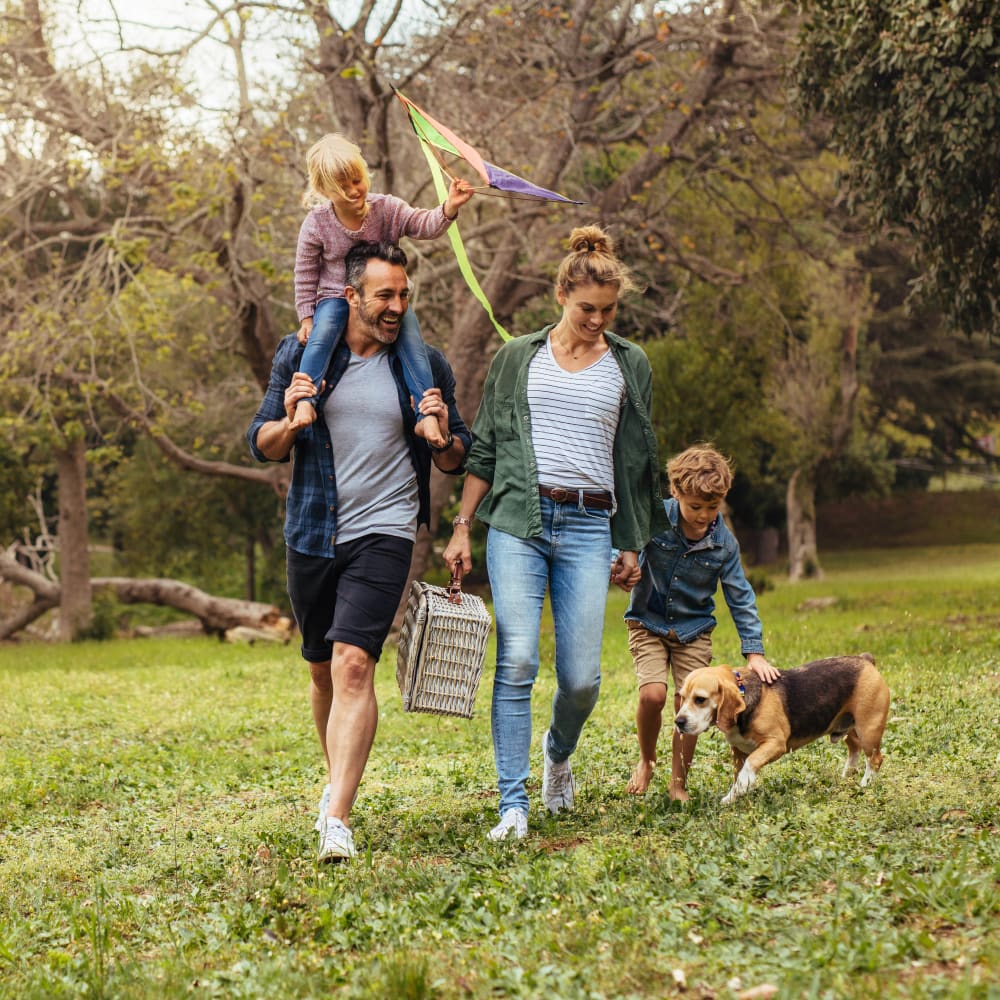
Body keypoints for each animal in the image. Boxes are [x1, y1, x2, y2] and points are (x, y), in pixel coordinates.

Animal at [676, 656, 888, 804]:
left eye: (700, 699)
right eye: (682, 697)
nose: (678, 722)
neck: (744, 693)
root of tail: (865, 660)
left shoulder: (775, 744)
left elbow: (750, 765)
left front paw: (743, 785)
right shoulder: (738, 751)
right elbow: (738, 775)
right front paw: (733, 797)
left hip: (868, 730)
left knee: (875, 759)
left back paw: (865, 784)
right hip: (849, 729)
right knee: (854, 749)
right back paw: (847, 776)